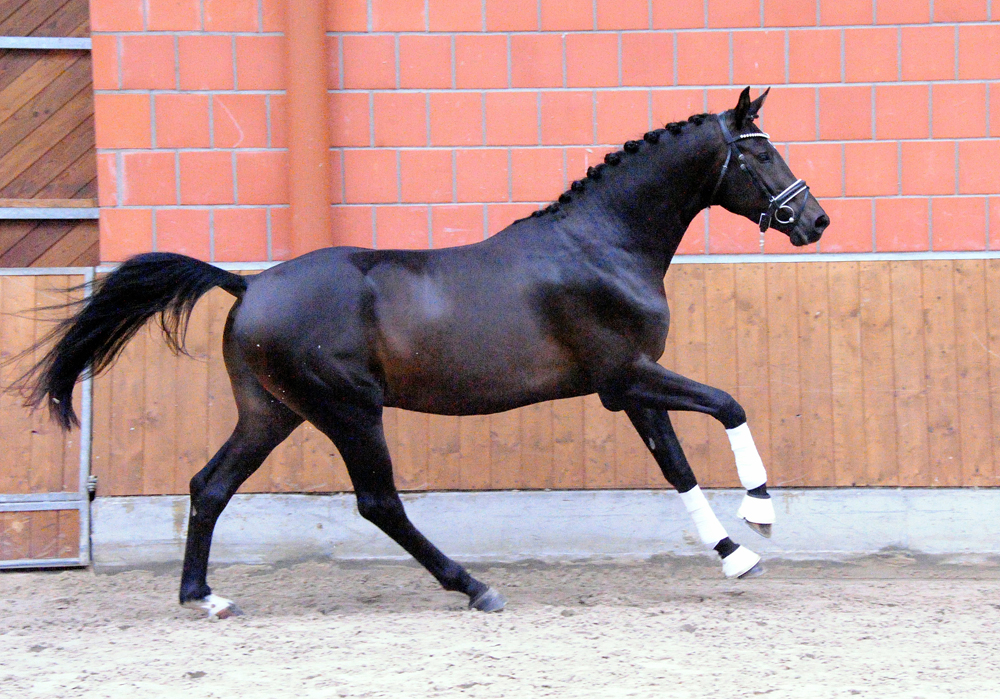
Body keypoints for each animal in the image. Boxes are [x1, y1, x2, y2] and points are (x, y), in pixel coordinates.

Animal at [21, 87, 828, 616]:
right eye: (758, 152)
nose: (813, 220)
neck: (604, 244)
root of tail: (247, 284)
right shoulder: (626, 376)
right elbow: (728, 404)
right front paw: (761, 514)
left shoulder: (629, 385)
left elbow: (675, 466)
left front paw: (736, 556)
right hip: (349, 410)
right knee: (378, 502)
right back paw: (473, 587)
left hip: (272, 413)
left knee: (208, 485)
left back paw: (204, 597)